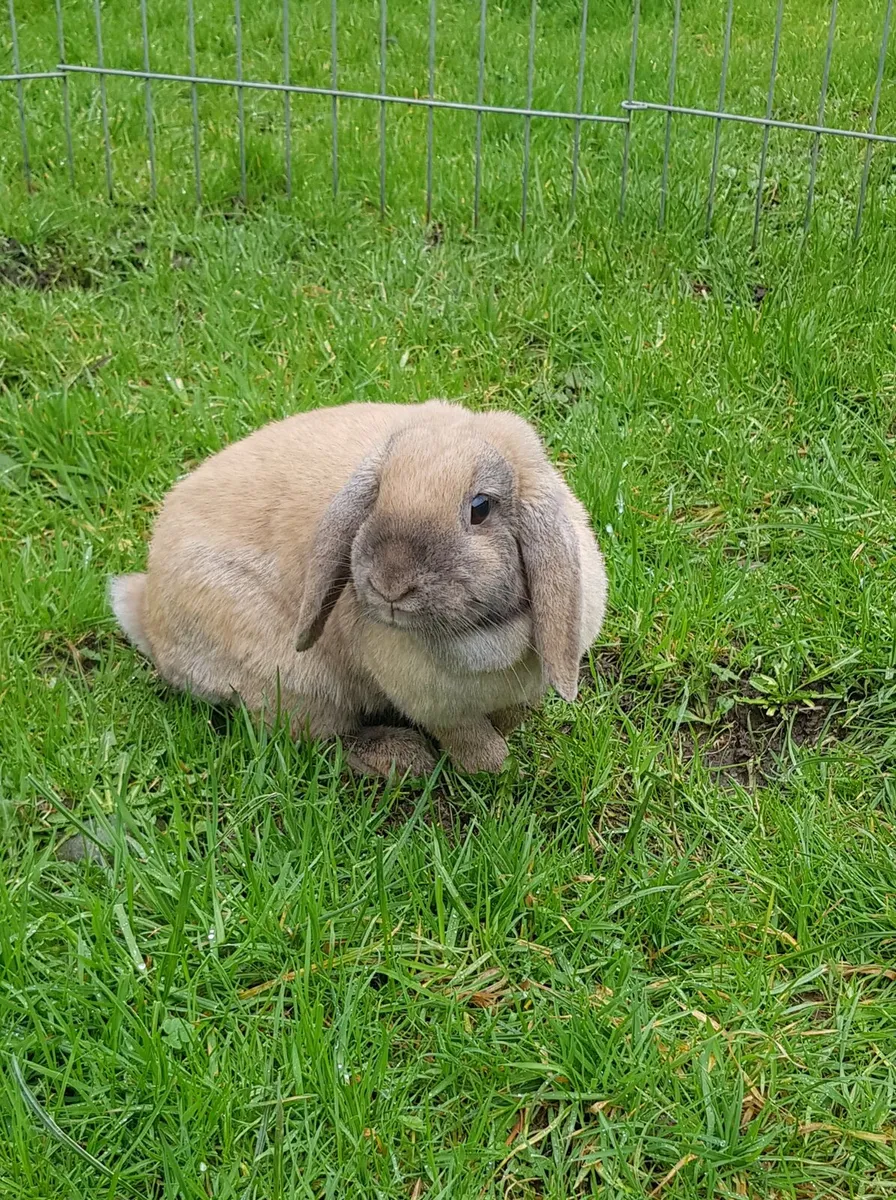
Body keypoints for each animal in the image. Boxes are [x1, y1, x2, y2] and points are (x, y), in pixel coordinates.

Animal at [109, 400, 607, 776]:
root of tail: (146, 614)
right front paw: (495, 766)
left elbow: (510, 717)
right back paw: (402, 759)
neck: (480, 633)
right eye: (378, 494)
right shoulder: (437, 708)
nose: (389, 586)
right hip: (298, 687)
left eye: (481, 507)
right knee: (316, 739)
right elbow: (474, 744)